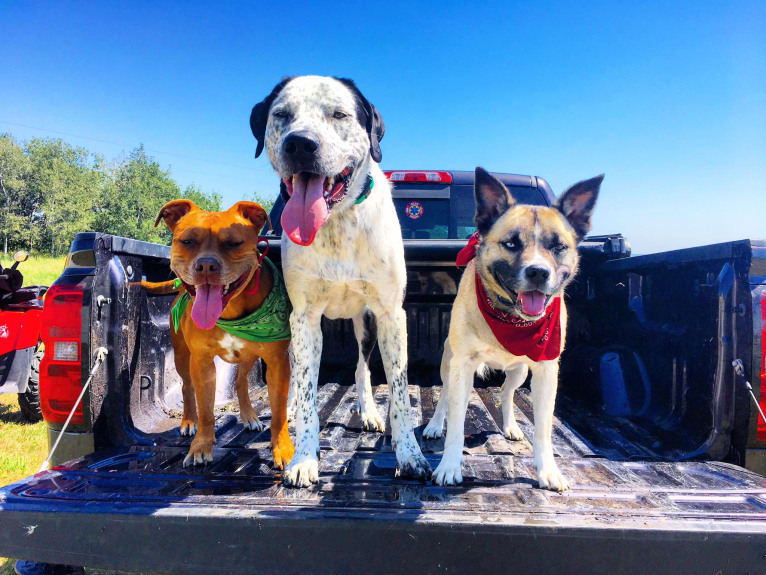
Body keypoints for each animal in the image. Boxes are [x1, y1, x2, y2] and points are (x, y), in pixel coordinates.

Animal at [146, 200, 294, 470]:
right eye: (187, 241)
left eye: (233, 243)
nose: (206, 265)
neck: (231, 309)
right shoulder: (202, 362)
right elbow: (206, 410)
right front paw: (201, 446)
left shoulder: (278, 362)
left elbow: (279, 412)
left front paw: (283, 449)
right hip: (182, 356)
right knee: (187, 387)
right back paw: (188, 422)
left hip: (247, 357)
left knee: (241, 381)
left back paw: (249, 416)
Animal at [250, 75, 432, 486]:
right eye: (281, 115)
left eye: (339, 114)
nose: (300, 144)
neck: (336, 222)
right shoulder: (303, 318)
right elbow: (306, 393)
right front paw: (303, 457)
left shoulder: (390, 315)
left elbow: (399, 392)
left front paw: (410, 456)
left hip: (366, 323)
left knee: (362, 369)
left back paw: (368, 411)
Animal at [424, 165, 604, 490]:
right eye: (511, 243)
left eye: (558, 247)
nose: (538, 272)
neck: (510, 316)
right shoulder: (462, 366)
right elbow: (456, 422)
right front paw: (448, 465)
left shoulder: (546, 370)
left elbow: (543, 428)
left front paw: (547, 471)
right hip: (449, 362)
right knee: (444, 396)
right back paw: (434, 425)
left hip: (519, 371)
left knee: (506, 393)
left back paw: (509, 425)